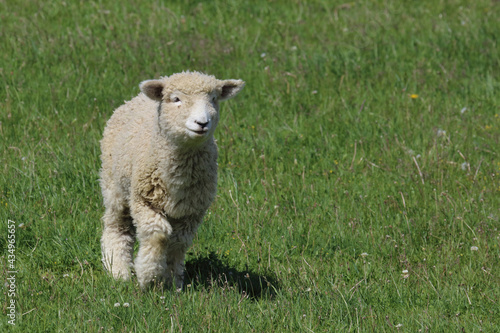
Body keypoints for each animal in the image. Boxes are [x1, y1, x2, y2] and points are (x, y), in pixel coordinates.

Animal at [99, 71, 244, 290]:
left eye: (213, 99)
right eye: (176, 99)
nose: (202, 123)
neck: (177, 179)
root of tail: (136, 98)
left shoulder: (192, 211)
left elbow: (178, 242)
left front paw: (171, 280)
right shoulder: (143, 201)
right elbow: (158, 235)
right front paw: (148, 276)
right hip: (115, 187)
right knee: (117, 227)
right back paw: (118, 270)